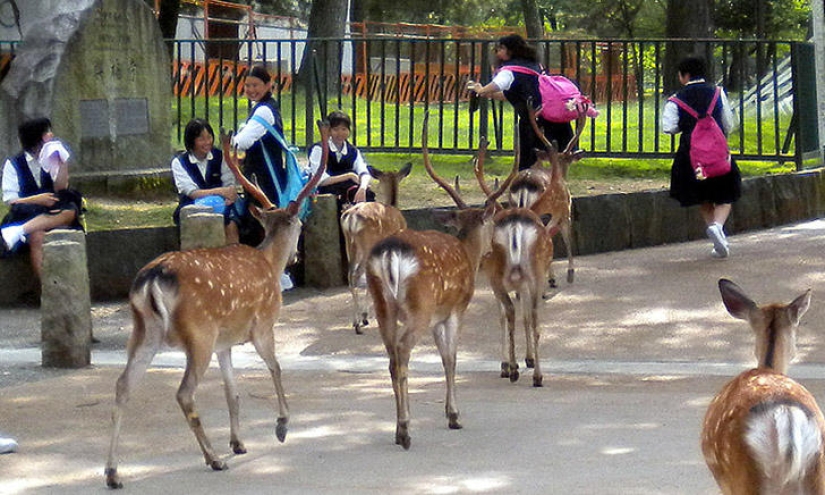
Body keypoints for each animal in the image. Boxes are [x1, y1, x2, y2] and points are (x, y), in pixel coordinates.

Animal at [104, 123, 330, 488]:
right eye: (300, 225)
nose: (296, 257)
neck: (269, 262)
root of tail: (152, 279)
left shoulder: (226, 342)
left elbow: (231, 392)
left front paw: (238, 442)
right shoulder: (263, 324)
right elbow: (276, 368)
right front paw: (282, 425)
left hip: (144, 331)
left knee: (123, 385)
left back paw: (113, 473)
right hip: (199, 333)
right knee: (184, 393)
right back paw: (213, 459)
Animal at [338, 162, 412, 334]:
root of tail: (351, 218)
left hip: (350, 245)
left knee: (351, 275)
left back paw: (355, 320)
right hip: (367, 244)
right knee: (359, 274)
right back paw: (360, 323)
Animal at [366, 114, 512, 452]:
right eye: (491, 222)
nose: (491, 250)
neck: (467, 253)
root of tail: (390, 253)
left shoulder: (437, 316)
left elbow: (444, 357)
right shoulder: (454, 308)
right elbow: (451, 358)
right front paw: (454, 415)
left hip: (383, 306)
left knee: (391, 356)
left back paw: (399, 428)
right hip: (419, 304)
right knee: (402, 351)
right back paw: (405, 431)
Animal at [474, 138, 552, 386]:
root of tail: (516, 224)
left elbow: (509, 316)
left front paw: (510, 363)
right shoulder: (522, 283)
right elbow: (524, 316)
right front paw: (523, 360)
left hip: (502, 275)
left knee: (512, 312)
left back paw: (517, 371)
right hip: (534, 272)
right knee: (532, 314)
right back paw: (536, 375)